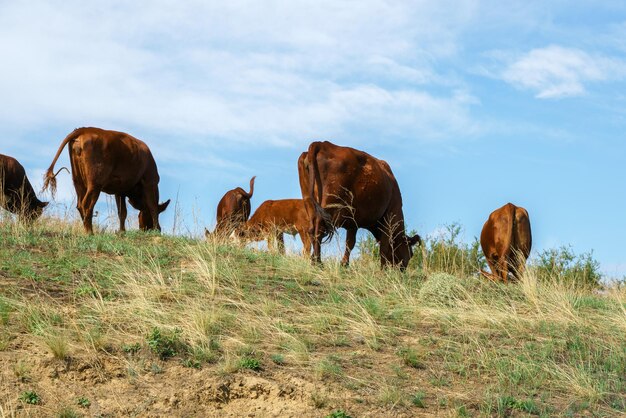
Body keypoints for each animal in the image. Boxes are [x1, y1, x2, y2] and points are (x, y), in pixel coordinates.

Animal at [41, 127, 169, 233]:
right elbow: (152, 207)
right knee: (86, 204)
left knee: (79, 204)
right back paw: (90, 232)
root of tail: (85, 129)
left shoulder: (120, 191)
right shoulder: (150, 182)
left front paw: (122, 232)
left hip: (78, 181)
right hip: (95, 183)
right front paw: (157, 230)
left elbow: (122, 212)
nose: (146, 229)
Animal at [302, 141, 420, 272]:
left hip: (310, 203)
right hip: (329, 206)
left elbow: (350, 243)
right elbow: (381, 247)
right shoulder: (386, 218)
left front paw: (344, 264)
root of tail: (323, 144)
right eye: (410, 254)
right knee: (319, 230)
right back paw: (317, 262)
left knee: (312, 230)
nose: (402, 270)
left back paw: (314, 260)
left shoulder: (353, 220)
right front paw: (382, 269)